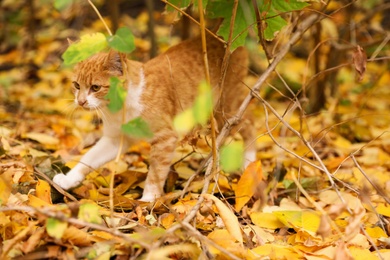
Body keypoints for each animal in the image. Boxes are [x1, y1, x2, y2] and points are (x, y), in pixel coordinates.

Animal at [53, 35, 258, 201]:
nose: (80, 102)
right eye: (76, 85)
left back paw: (249, 162)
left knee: (248, 122)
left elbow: (156, 172)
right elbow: (88, 158)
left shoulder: (165, 138)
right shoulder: (115, 139)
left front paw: (149, 199)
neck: (119, 110)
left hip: (226, 109)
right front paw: (69, 179)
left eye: (95, 87)